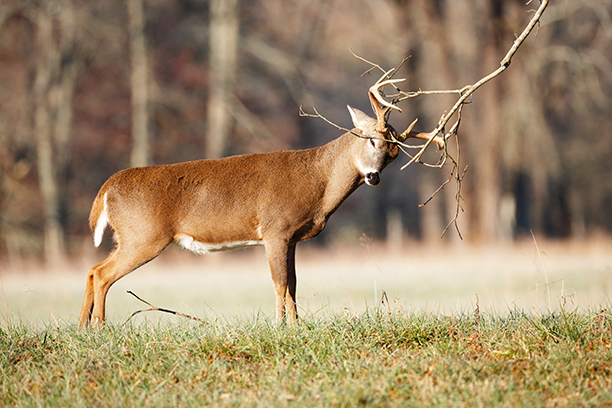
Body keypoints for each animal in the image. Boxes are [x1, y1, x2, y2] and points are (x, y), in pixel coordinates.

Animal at [79, 74, 442, 328]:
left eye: (395, 155)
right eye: (370, 140)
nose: (373, 177)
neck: (318, 181)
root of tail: (107, 188)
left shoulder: (291, 237)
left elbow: (293, 284)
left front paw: (297, 327)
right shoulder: (274, 228)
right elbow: (279, 284)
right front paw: (280, 326)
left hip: (130, 237)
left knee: (93, 269)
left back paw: (83, 326)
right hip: (144, 235)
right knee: (103, 273)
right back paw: (99, 327)